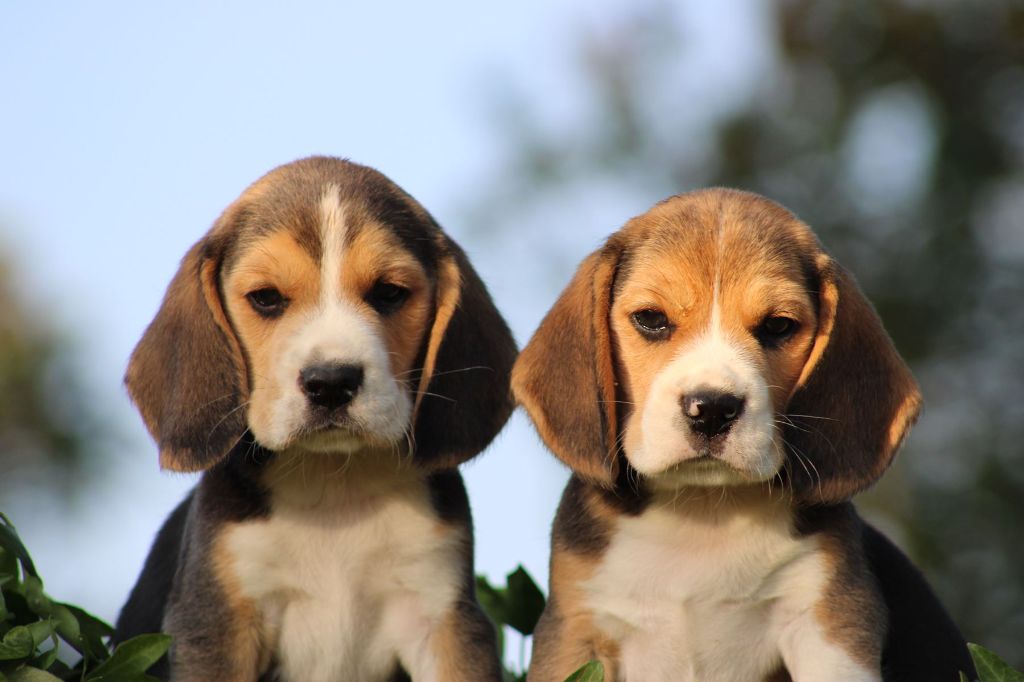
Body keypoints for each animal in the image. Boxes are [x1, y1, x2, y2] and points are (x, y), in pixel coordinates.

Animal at [115, 155, 516, 679]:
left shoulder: (442, 616)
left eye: (389, 293)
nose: (331, 382)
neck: (333, 484)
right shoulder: (216, 623)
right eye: (266, 297)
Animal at [516, 188, 970, 679]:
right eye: (651, 318)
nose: (712, 409)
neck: (703, 511)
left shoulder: (828, 623)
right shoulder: (574, 629)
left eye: (778, 326)